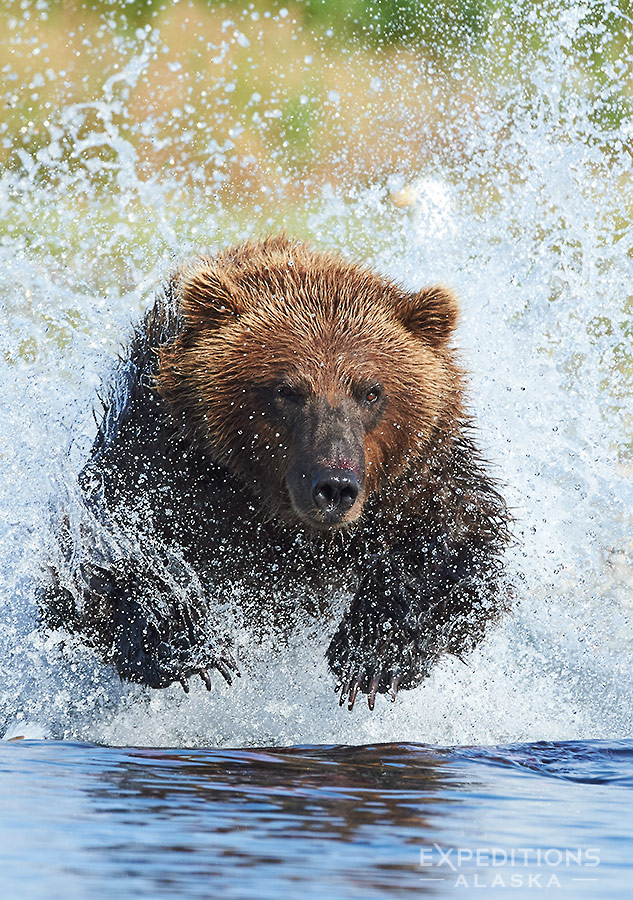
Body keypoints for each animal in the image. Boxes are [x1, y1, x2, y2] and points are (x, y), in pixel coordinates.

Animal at [42, 235, 510, 711]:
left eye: (371, 391)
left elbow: (460, 549)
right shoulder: (167, 462)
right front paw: (191, 644)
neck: (286, 521)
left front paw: (372, 654)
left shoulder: (420, 477)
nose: (335, 486)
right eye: (287, 390)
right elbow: (102, 556)